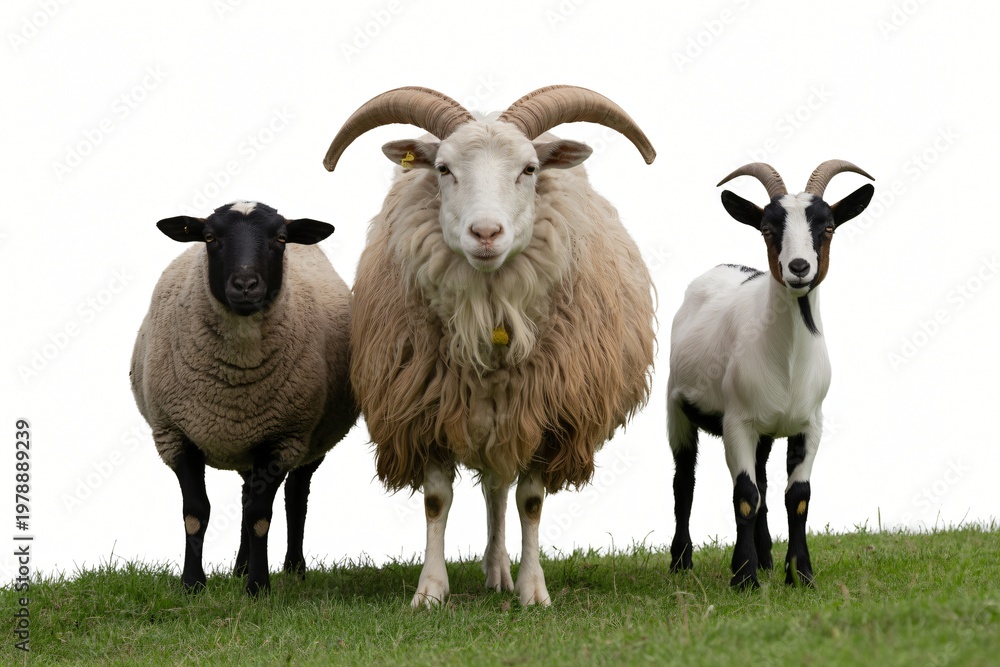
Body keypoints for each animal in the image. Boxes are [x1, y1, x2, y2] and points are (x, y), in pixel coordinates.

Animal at [130, 201, 358, 595]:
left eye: (280, 238)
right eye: (209, 237)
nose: (246, 284)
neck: (235, 381)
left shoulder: (281, 439)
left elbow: (259, 516)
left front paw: (258, 587)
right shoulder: (176, 434)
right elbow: (196, 512)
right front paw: (193, 584)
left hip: (309, 440)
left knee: (295, 499)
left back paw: (293, 568)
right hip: (245, 442)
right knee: (244, 495)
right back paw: (239, 567)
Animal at [322, 85, 656, 607]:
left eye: (530, 169)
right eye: (443, 169)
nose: (485, 234)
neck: (491, 317)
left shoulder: (550, 412)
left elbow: (531, 502)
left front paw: (532, 590)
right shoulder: (425, 408)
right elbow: (437, 501)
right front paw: (430, 591)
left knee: (500, 491)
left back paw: (501, 570)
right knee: (493, 492)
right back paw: (494, 566)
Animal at [666, 161, 874, 588]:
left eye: (828, 226)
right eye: (766, 228)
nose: (799, 268)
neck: (789, 362)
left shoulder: (810, 425)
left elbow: (797, 498)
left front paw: (801, 575)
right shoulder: (736, 423)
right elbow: (745, 495)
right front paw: (744, 579)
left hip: (764, 431)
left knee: (762, 478)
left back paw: (764, 557)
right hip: (676, 409)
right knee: (684, 481)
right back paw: (681, 561)